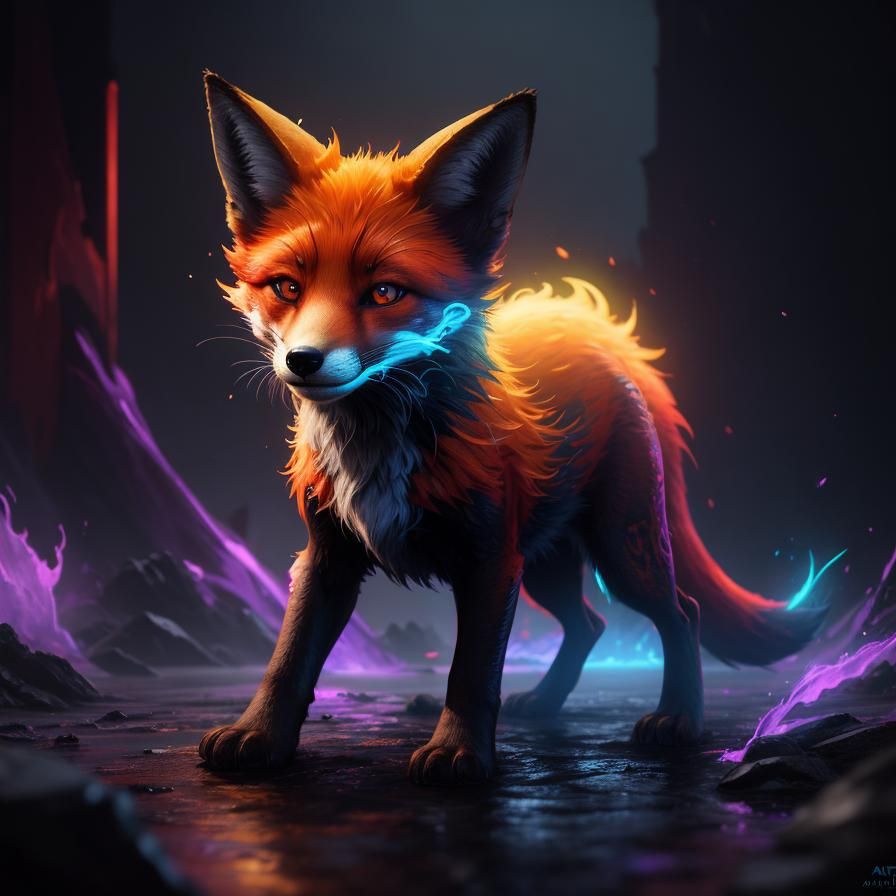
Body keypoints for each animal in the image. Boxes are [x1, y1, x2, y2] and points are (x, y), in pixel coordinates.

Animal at [198, 73, 822, 785]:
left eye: (385, 293)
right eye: (285, 287)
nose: (303, 361)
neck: (378, 443)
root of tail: (600, 333)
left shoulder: (493, 560)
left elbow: (470, 673)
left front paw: (458, 754)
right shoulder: (327, 555)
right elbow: (287, 660)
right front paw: (258, 738)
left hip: (618, 548)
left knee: (680, 612)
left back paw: (677, 719)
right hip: (548, 560)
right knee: (589, 625)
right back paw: (543, 703)